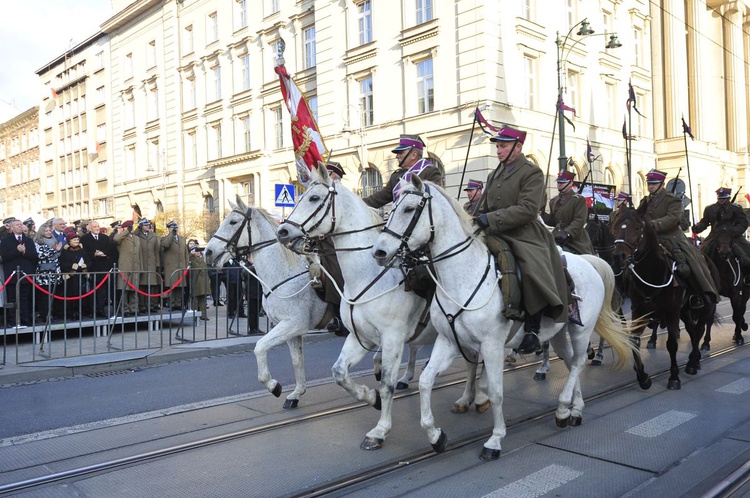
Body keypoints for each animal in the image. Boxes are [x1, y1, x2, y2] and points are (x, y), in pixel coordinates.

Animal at [276, 166, 482, 452]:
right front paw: (370, 397)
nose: (282, 231)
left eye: (314, 198)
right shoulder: (360, 337)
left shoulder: (392, 338)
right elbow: (340, 373)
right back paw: (468, 398)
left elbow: (387, 384)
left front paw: (380, 430)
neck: (367, 275)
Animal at [370, 177, 636, 462]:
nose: (379, 252)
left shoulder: (492, 346)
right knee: (570, 360)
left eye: (409, 208)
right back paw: (574, 409)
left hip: (581, 331)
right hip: (558, 332)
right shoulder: (448, 342)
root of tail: (589, 260)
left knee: (577, 363)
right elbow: (425, 381)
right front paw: (435, 435)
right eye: (391, 208)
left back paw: (565, 406)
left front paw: (495, 440)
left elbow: (496, 392)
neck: (463, 277)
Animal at [612, 206, 720, 390]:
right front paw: (643, 377)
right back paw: (694, 361)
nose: (618, 256)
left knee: (699, 329)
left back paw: (693, 362)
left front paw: (674, 377)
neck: (652, 272)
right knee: (692, 330)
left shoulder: (671, 312)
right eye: (617, 226)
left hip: (706, 306)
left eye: (637, 228)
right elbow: (634, 340)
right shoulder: (640, 311)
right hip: (684, 311)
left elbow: (672, 343)